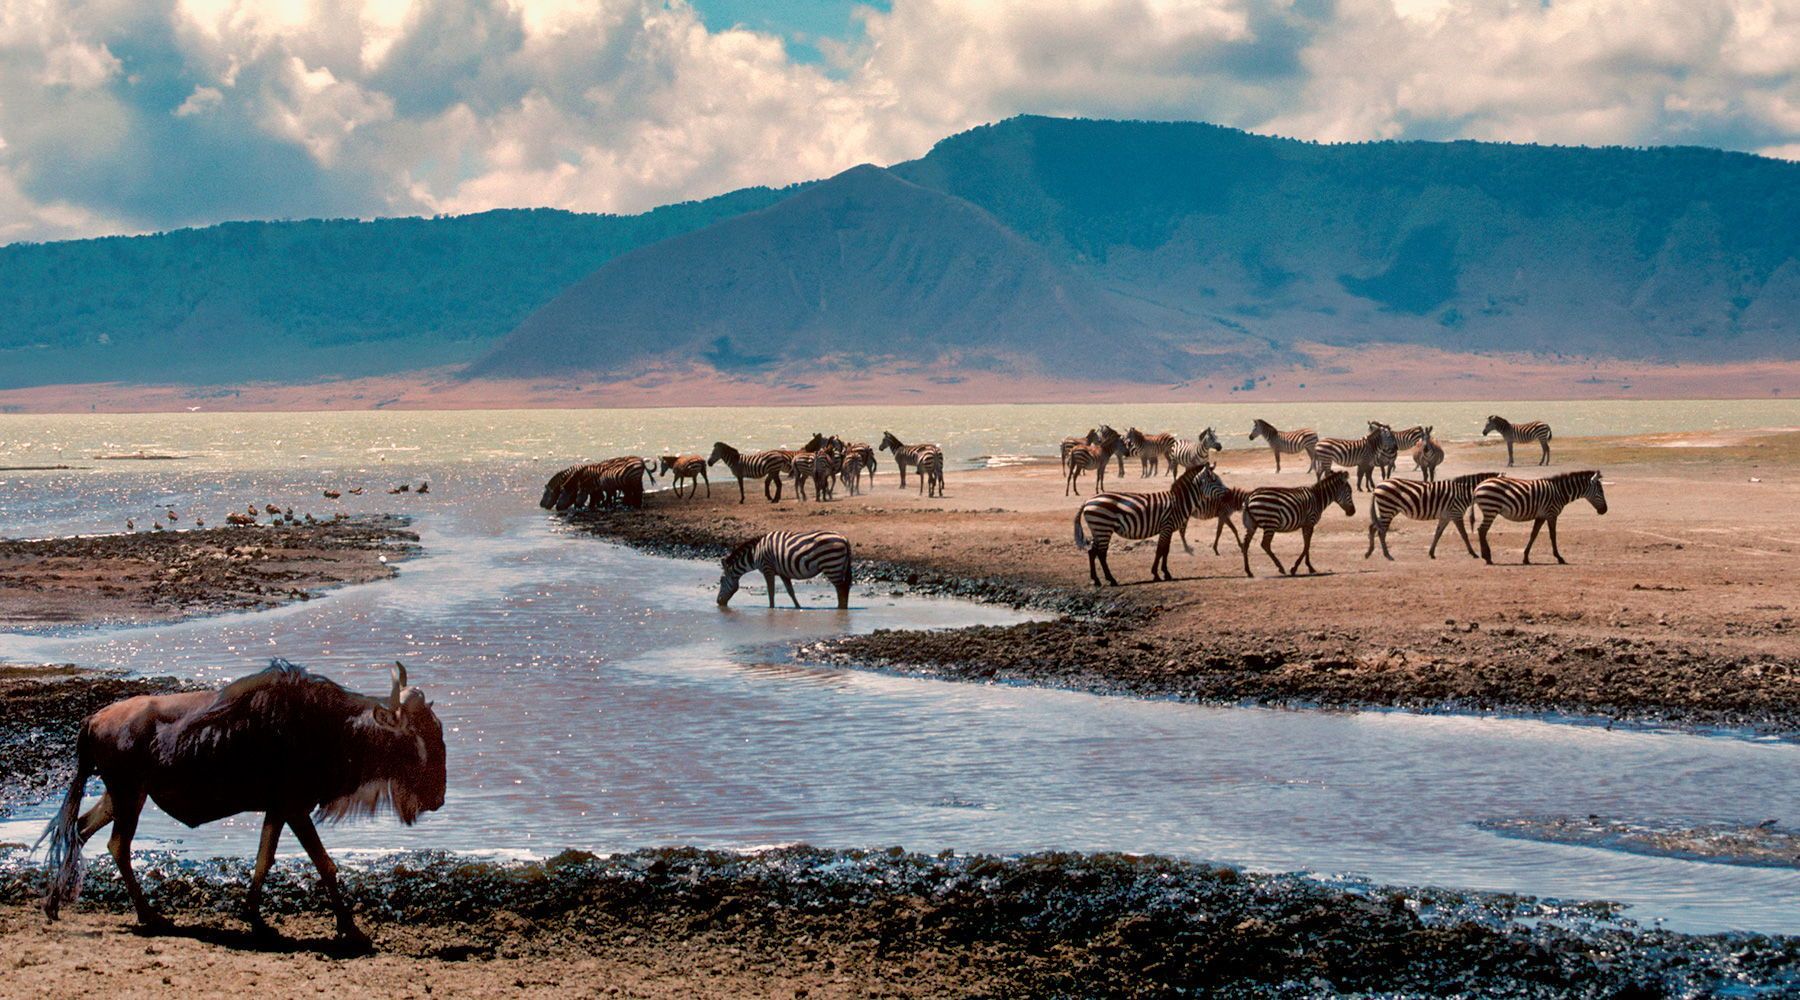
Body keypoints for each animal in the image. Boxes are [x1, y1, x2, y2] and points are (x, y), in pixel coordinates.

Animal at [717, 530, 853, 609]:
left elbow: (771, 591)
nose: (718, 602)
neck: (755, 553)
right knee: (845, 588)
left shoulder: (767, 569)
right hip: (840, 566)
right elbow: (790, 591)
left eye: (721, 581)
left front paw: (771, 608)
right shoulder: (783, 572)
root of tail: (844, 538)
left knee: (841, 589)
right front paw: (798, 607)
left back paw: (840, 609)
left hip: (831, 564)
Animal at [1073, 466, 1225, 584]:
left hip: (1098, 530)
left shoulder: (1168, 529)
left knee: (1092, 552)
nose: (1228, 493)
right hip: (1103, 528)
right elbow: (1160, 550)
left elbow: (1165, 550)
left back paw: (1096, 580)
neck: (1179, 502)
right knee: (1101, 553)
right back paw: (1111, 579)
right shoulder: (1166, 526)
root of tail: (1088, 501)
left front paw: (1165, 573)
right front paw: (1157, 574)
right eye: (1214, 480)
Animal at [1365, 471, 1498, 560]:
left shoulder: (1446, 516)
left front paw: (1431, 553)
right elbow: (1464, 535)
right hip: (1388, 509)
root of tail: (1377, 486)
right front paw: (1473, 553)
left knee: (1373, 527)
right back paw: (1387, 555)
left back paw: (1369, 552)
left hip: (1387, 510)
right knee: (1381, 531)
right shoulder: (1456, 513)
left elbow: (1438, 533)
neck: (1463, 493)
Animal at [1473, 470, 1607, 565]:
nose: (1605, 510)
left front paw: (1526, 558)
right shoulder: (1551, 514)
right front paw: (1559, 557)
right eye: (1601, 491)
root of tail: (1478, 486)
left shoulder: (1541, 516)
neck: (1560, 493)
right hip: (1491, 509)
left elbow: (1533, 535)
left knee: (1481, 530)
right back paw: (1487, 557)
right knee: (1482, 530)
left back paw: (1487, 557)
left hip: (1490, 509)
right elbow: (1553, 536)